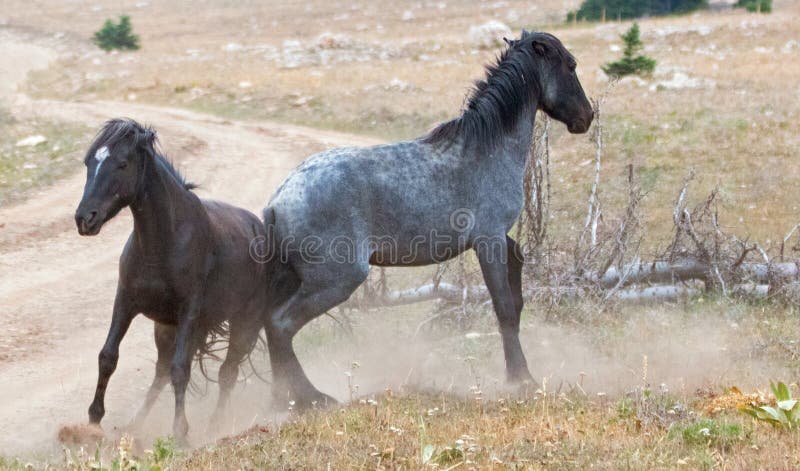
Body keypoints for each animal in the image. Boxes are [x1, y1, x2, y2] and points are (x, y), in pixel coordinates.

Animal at [262, 30, 592, 406]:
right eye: (571, 65)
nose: (587, 116)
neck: (486, 149)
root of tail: (278, 200)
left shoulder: (501, 240)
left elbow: (517, 284)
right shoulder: (488, 240)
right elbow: (504, 308)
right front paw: (521, 378)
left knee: (272, 326)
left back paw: (286, 399)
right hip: (338, 280)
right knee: (281, 324)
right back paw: (310, 398)